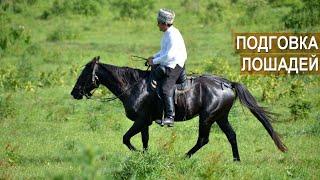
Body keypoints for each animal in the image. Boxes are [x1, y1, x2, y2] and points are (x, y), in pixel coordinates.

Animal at [70, 56, 288, 160]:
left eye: (85, 74)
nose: (74, 93)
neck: (133, 86)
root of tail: (228, 84)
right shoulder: (145, 122)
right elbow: (144, 141)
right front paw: (144, 156)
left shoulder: (141, 120)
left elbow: (126, 139)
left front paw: (138, 154)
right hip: (220, 117)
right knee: (231, 135)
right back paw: (236, 160)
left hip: (207, 118)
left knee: (203, 140)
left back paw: (184, 156)